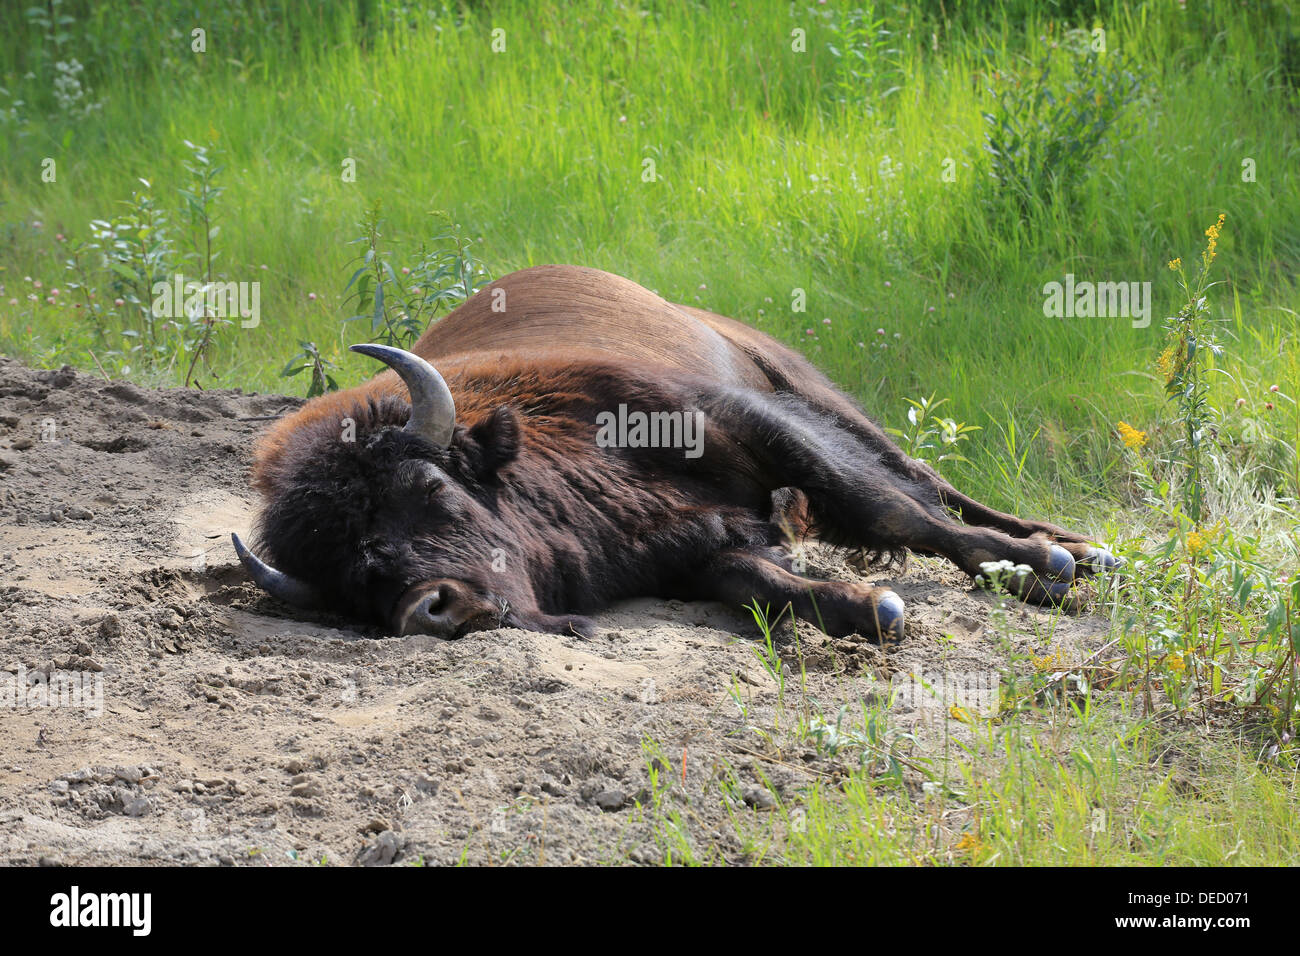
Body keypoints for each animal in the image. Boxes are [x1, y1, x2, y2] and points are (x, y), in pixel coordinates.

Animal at [239, 265, 1123, 647]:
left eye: (429, 486)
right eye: (356, 574)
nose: (433, 607)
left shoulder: (755, 424)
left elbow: (892, 511)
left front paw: (1038, 571)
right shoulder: (691, 547)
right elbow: (759, 582)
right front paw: (870, 606)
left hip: (813, 391)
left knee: (924, 481)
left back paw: (1076, 550)